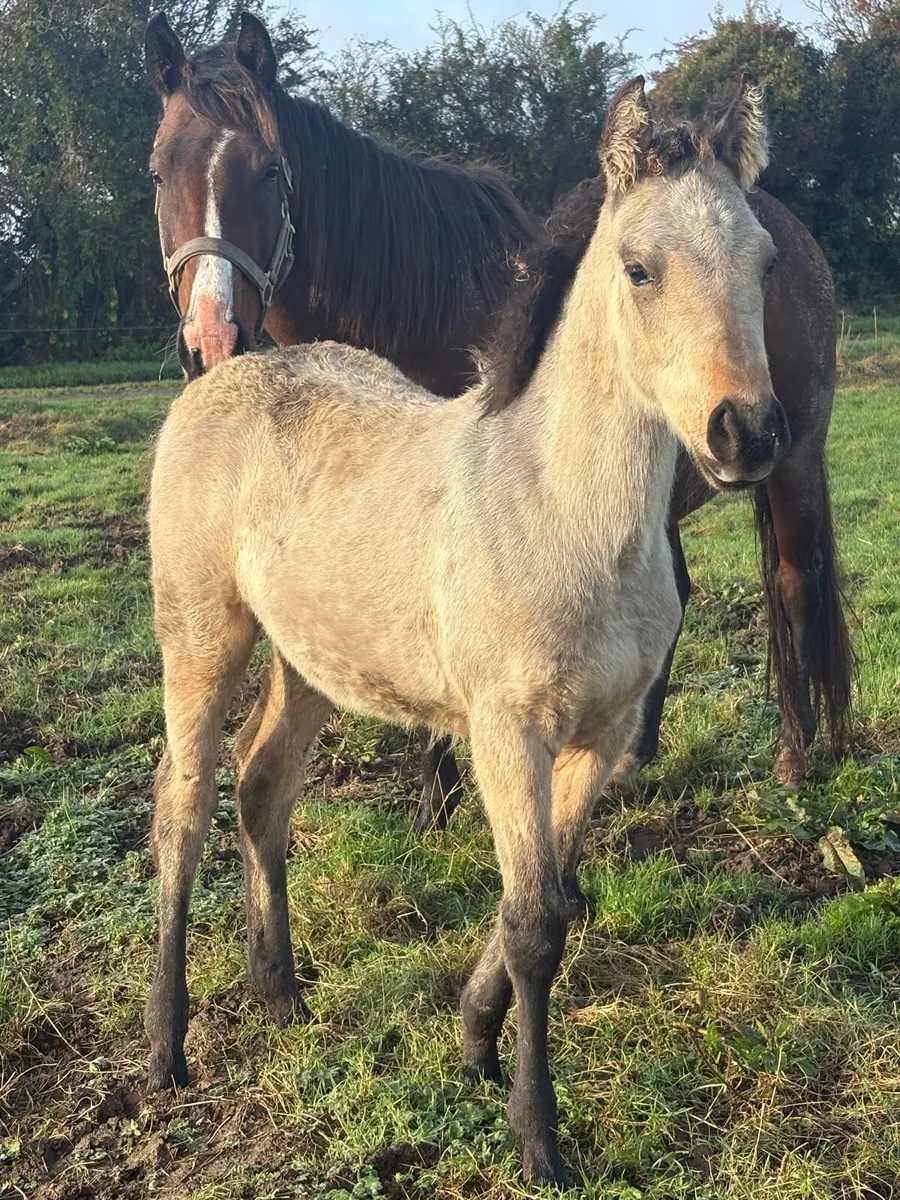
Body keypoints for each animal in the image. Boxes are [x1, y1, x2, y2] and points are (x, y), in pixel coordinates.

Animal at [144, 14, 853, 825]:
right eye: (159, 173)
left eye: (269, 171)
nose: (211, 338)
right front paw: (438, 793)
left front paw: (438, 792)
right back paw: (635, 759)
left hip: (793, 462)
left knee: (794, 585)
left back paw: (795, 754)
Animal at [145, 74, 787, 1185]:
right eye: (639, 267)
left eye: (765, 260)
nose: (743, 434)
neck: (560, 507)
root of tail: (221, 376)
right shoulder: (506, 729)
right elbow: (536, 924)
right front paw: (537, 1135)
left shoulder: (601, 734)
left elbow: (547, 895)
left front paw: (474, 1037)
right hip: (200, 636)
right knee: (181, 805)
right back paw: (166, 1048)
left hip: (312, 657)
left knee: (263, 783)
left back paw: (282, 993)